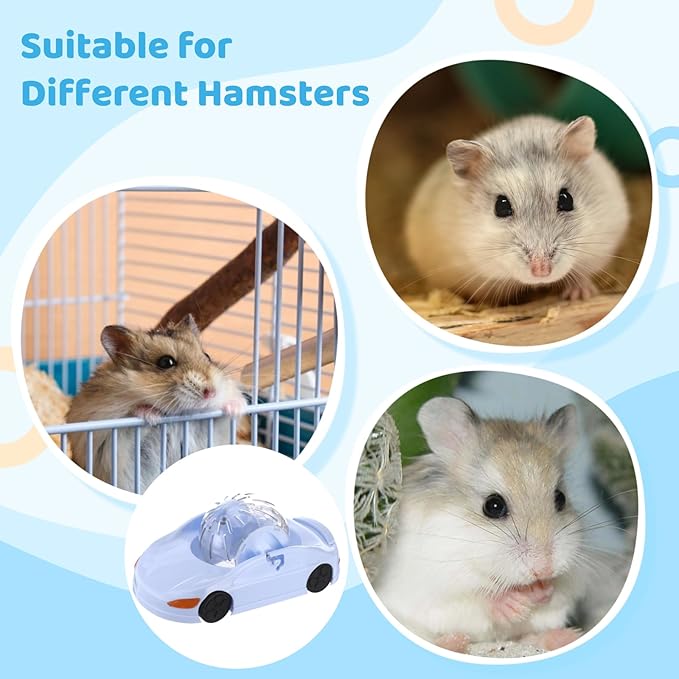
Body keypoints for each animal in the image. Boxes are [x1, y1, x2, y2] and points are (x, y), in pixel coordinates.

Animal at [67, 314, 246, 493]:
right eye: (166, 362)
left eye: (207, 356)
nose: (211, 392)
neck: (180, 415)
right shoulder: (109, 437)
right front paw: (152, 415)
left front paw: (237, 407)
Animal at [374, 374, 633, 654]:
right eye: (493, 506)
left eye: (560, 498)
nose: (544, 569)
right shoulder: (441, 582)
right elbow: (479, 599)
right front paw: (514, 602)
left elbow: (555, 596)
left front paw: (542, 591)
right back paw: (455, 641)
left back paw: (563, 637)